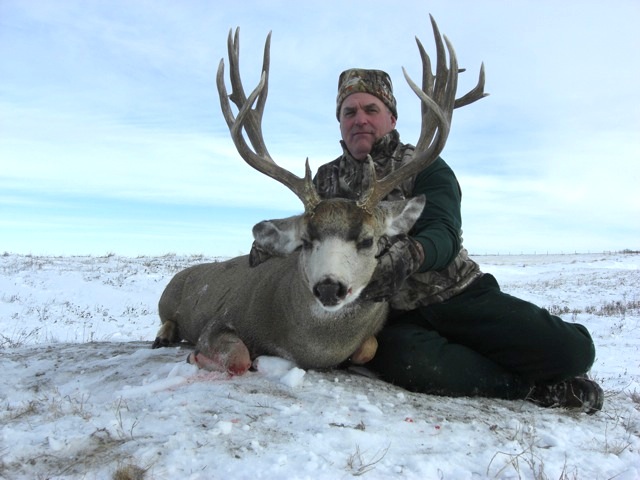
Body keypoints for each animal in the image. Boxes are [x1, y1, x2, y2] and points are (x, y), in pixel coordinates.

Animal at [152, 15, 487, 375]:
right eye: (306, 240)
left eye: (368, 240)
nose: (328, 286)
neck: (310, 348)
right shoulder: (218, 319)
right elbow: (238, 357)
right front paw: (196, 356)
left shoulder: (367, 339)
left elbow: (368, 348)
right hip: (167, 297)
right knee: (167, 319)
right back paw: (164, 336)